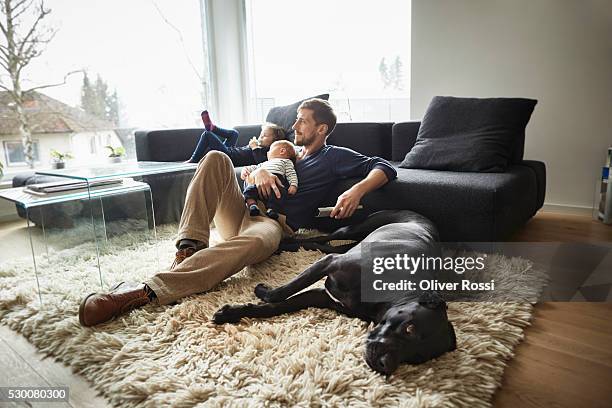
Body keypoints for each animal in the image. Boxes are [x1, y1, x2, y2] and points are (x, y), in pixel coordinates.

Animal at [213, 212, 456, 374]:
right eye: (410, 328)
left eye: (417, 357)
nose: (385, 366)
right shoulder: (329, 264)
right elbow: (281, 294)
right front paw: (262, 291)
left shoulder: (322, 296)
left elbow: (276, 307)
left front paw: (233, 313)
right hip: (353, 229)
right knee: (322, 238)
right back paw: (287, 242)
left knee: (325, 245)